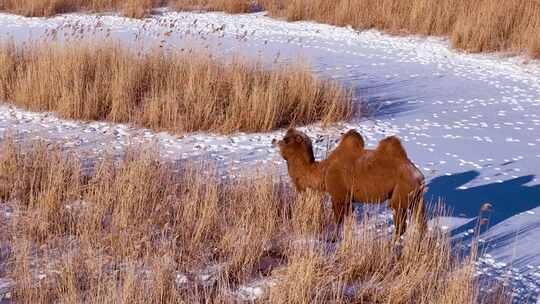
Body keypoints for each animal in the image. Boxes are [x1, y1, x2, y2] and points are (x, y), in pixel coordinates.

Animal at [274, 128, 426, 238]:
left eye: (286, 139)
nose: (275, 140)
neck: (323, 172)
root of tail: (419, 175)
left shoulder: (338, 195)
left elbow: (338, 220)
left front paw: (333, 239)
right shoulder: (348, 199)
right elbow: (348, 218)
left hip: (401, 192)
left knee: (400, 221)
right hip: (416, 197)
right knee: (419, 221)